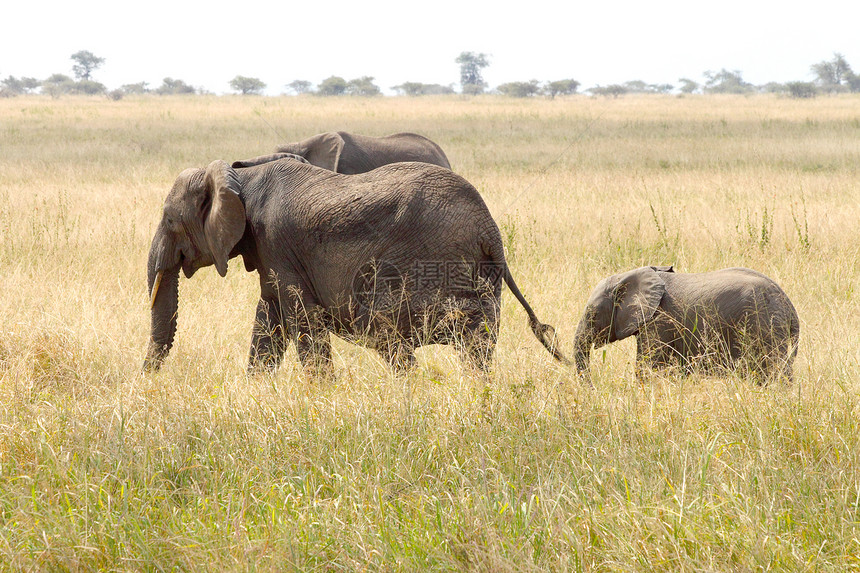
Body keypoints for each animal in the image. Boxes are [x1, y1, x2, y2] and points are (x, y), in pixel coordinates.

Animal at [572, 264, 800, 382]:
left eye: (592, 315)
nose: (593, 388)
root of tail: (789, 305)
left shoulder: (659, 321)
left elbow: (647, 367)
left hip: (764, 326)